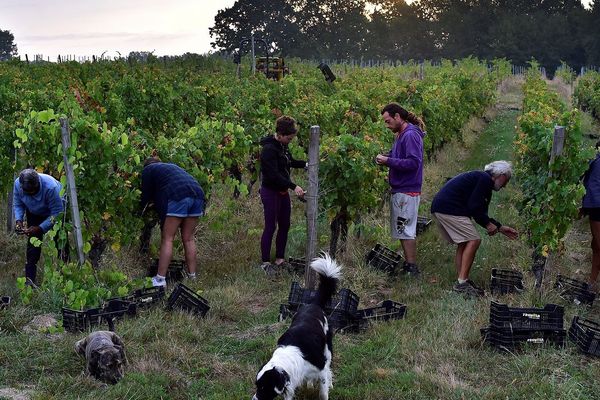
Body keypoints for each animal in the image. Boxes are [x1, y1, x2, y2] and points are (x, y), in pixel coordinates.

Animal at [252, 253, 340, 400]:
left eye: (264, 387)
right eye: (257, 386)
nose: (254, 399)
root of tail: (313, 304)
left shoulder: (320, 368)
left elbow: (323, 391)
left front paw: (327, 388)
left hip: (328, 350)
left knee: (329, 367)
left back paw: (331, 383)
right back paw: (310, 385)